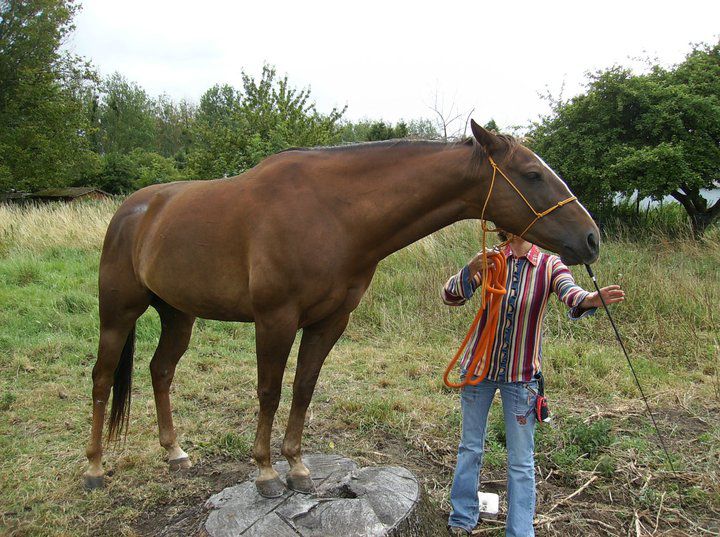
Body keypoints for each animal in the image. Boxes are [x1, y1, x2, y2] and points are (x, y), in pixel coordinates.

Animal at [83, 120, 600, 497]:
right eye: (532, 174)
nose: (591, 238)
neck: (332, 212)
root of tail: (134, 209)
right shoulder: (275, 319)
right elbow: (269, 391)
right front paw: (266, 473)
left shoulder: (329, 322)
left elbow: (304, 389)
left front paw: (297, 467)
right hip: (119, 313)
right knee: (103, 379)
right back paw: (94, 468)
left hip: (178, 314)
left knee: (161, 371)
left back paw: (174, 452)